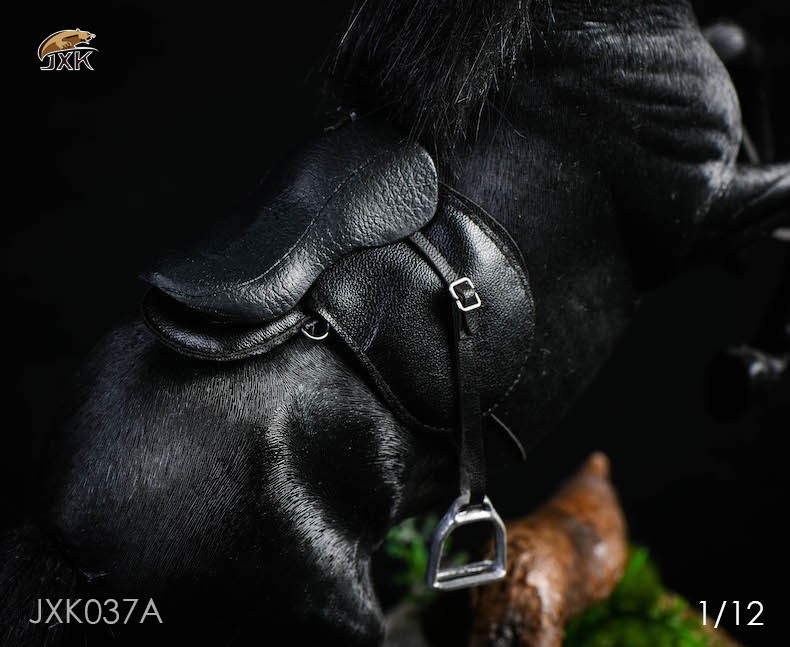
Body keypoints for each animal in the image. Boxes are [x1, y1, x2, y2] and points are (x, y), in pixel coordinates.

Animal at [2, 1, 788, 645]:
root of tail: (64, 521)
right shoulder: (704, 213)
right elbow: (780, 190)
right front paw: (754, 367)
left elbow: (743, 42)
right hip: (329, 611)